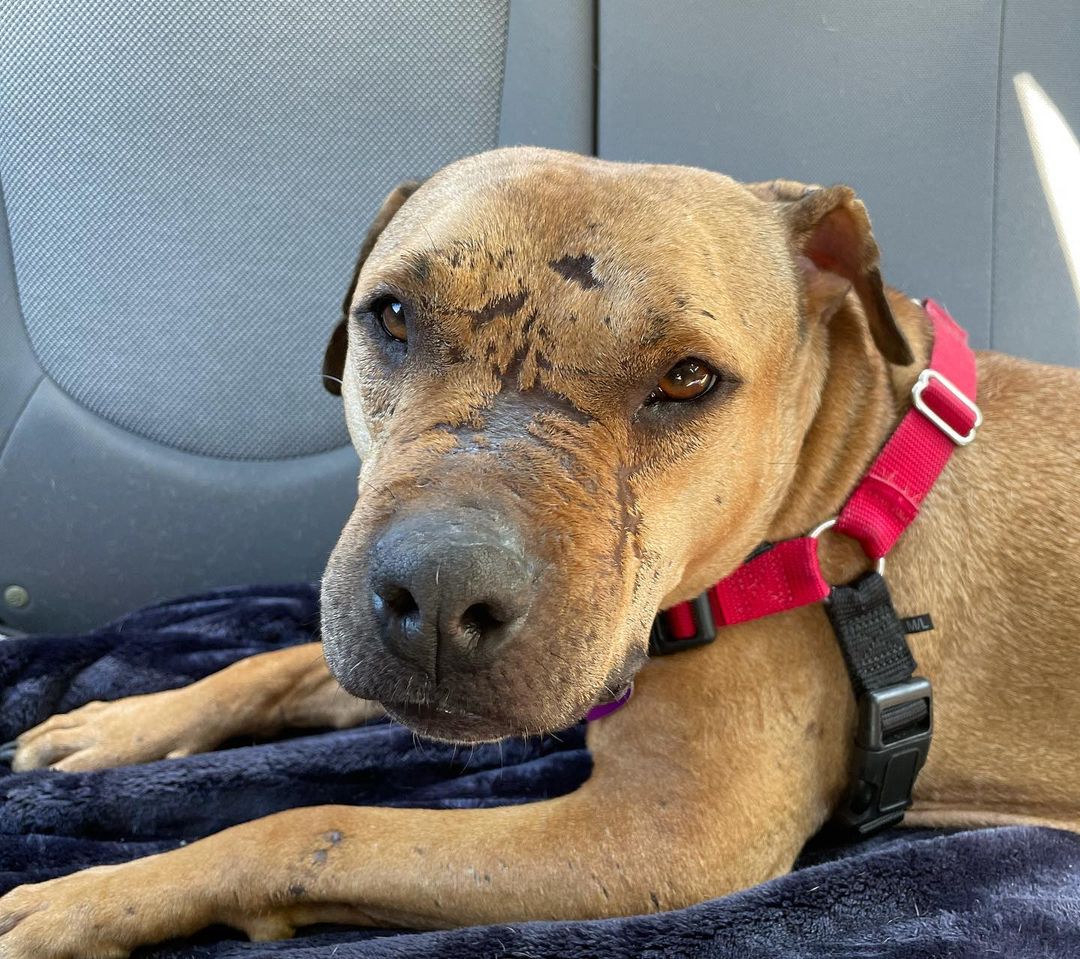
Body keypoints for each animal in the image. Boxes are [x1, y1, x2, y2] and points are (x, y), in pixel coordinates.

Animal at [2, 144, 1080, 959]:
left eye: (689, 378)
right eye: (392, 315)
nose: (439, 593)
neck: (830, 507)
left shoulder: (651, 840)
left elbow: (316, 828)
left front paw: (83, 900)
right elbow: (274, 663)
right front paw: (125, 724)